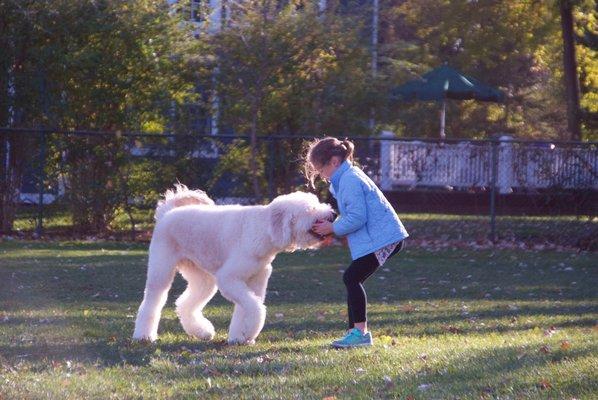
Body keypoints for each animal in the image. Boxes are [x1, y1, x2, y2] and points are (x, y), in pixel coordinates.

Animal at [133, 184, 336, 344]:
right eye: (311, 208)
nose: (333, 214)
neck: (261, 229)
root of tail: (167, 212)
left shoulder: (254, 281)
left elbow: (244, 311)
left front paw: (240, 337)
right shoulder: (229, 279)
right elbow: (256, 309)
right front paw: (249, 331)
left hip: (203, 280)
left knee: (184, 304)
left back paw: (202, 331)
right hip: (161, 271)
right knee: (152, 302)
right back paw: (143, 336)